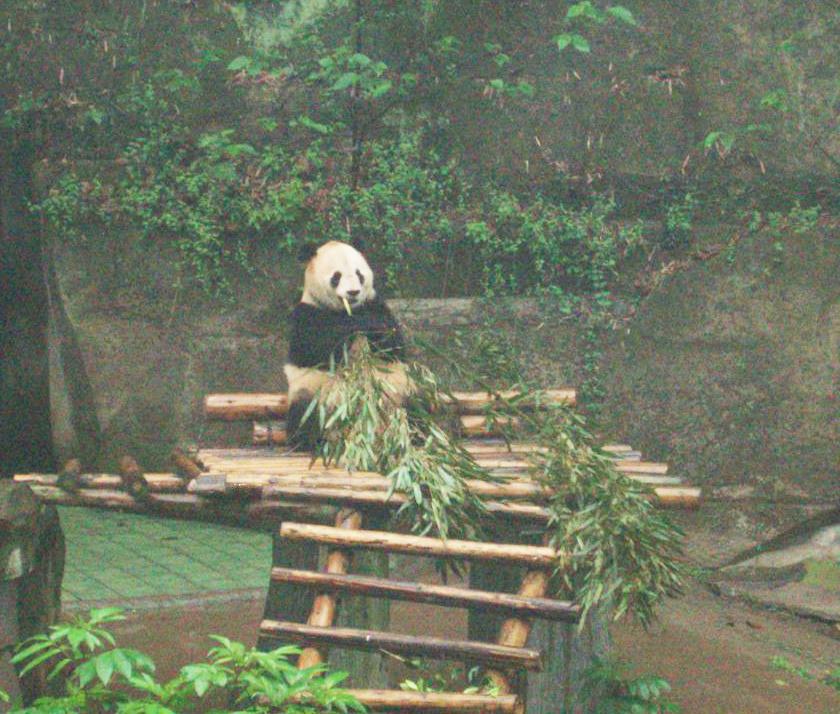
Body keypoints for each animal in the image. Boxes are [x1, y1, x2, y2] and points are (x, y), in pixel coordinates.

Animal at [284, 240, 410, 450]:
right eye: (336, 276)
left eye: (359, 274)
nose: (353, 292)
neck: (344, 310)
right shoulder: (308, 313)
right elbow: (317, 347)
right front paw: (356, 325)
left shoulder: (375, 303)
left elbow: (393, 346)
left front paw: (373, 326)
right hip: (313, 393)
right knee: (304, 414)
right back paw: (308, 441)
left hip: (397, 391)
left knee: (415, 407)